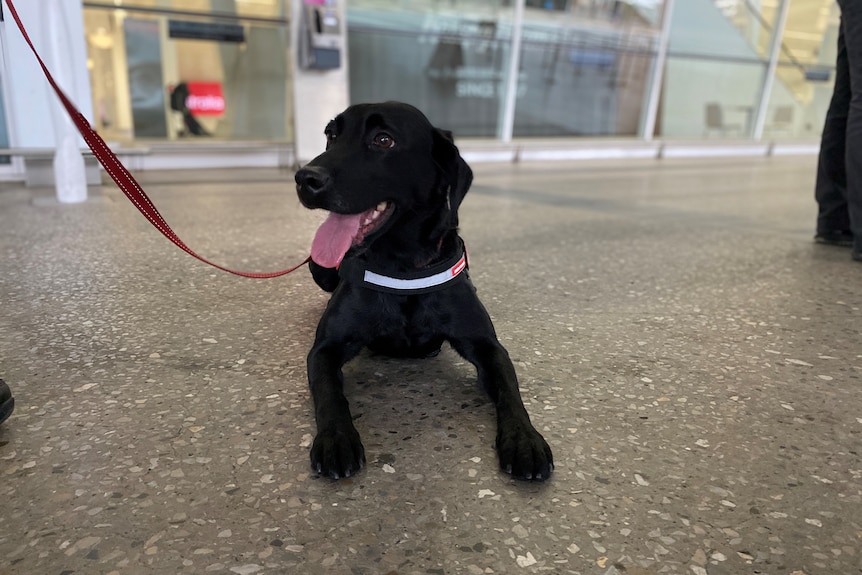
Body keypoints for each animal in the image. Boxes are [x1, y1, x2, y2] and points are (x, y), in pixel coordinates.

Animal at [296, 102, 552, 482]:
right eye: (332, 135)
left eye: (383, 139)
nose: (304, 178)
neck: (403, 268)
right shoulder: (325, 349)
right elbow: (329, 393)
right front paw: (335, 439)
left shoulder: (488, 346)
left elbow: (510, 391)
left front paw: (524, 439)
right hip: (318, 267)